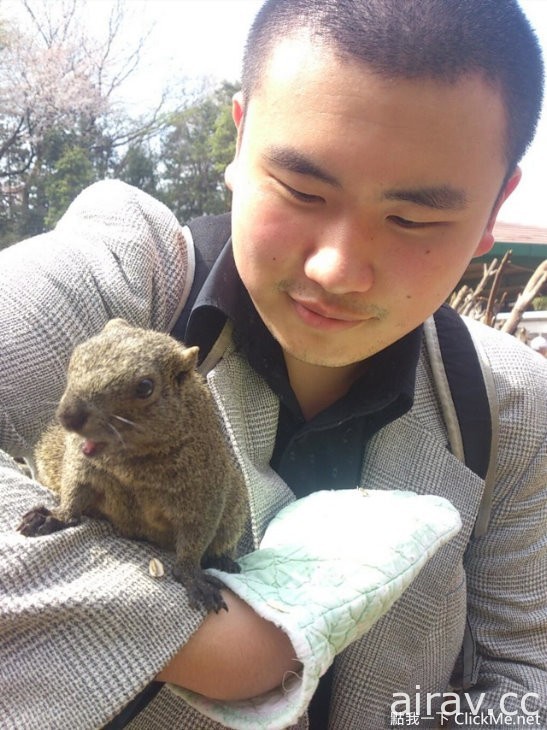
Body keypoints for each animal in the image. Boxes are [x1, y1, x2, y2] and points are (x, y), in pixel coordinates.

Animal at [17, 318, 248, 608]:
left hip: (234, 510)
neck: (129, 467)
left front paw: (192, 576)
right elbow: (74, 491)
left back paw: (223, 560)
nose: (68, 416)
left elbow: (196, 537)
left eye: (145, 387)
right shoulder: (80, 465)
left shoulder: (204, 492)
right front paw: (54, 516)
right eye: (76, 355)